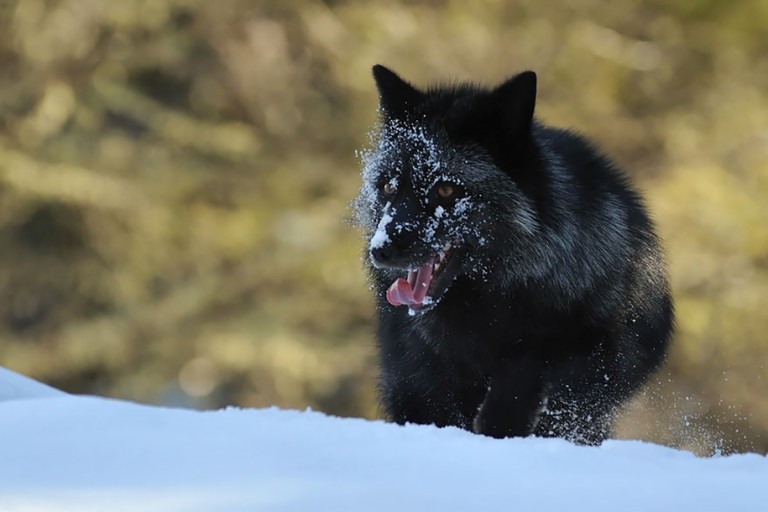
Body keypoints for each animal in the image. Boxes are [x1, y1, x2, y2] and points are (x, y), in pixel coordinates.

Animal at [354, 66, 672, 444]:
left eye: (445, 189)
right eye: (389, 187)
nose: (381, 250)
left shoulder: (600, 346)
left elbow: (534, 364)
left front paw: (502, 421)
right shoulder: (415, 374)